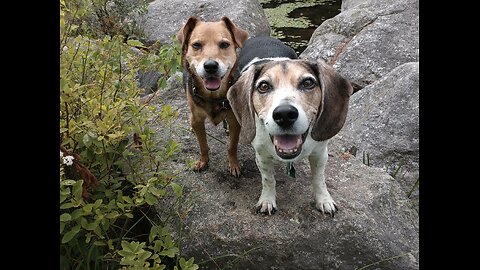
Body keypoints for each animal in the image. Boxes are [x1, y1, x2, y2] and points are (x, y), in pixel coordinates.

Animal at [178, 17, 249, 177]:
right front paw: (203, 162)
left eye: (224, 44)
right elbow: (203, 145)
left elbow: (232, 146)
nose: (210, 66)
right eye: (196, 45)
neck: (213, 96)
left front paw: (233, 164)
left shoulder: (234, 121)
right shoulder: (197, 119)